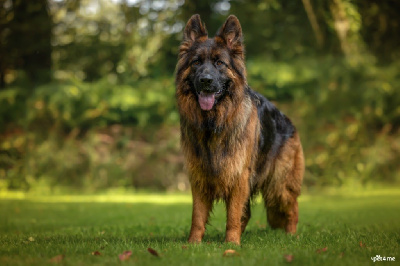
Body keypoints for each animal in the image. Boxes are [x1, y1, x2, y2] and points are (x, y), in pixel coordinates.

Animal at [175, 13, 304, 244]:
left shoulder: (238, 176)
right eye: (196, 62)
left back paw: (291, 235)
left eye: (219, 63)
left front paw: (232, 245)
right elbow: (197, 216)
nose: (205, 81)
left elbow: (234, 214)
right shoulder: (200, 177)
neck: (214, 122)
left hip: (279, 183)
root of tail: (289, 121)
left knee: (292, 207)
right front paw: (193, 244)